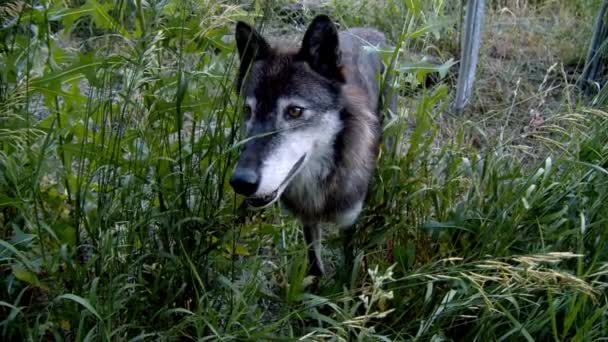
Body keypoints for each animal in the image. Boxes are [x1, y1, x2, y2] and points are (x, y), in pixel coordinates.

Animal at [230, 16, 388, 276]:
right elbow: (314, 263)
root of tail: (372, 31)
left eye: (295, 111)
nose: (241, 182)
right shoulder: (308, 220)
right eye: (248, 110)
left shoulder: (349, 223)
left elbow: (348, 267)